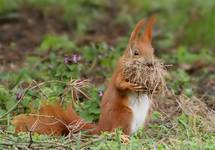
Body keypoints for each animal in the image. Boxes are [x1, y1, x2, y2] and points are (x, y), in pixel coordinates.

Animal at [13, 16, 158, 135]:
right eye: (136, 53)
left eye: (153, 51)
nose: (150, 64)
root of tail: (101, 127)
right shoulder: (120, 71)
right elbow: (119, 84)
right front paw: (131, 86)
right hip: (124, 114)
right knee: (114, 133)